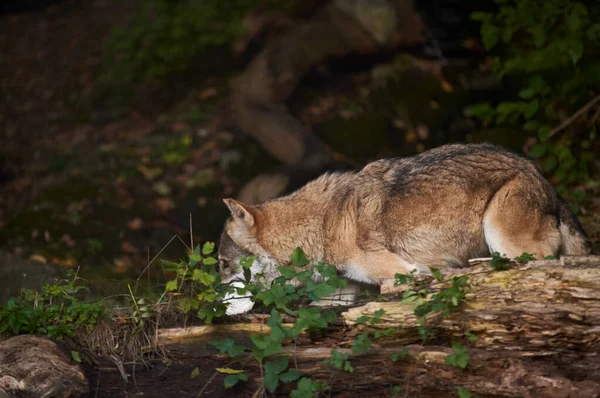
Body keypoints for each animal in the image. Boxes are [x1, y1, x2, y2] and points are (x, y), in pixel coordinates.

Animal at [217, 143, 592, 314]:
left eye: (221, 264)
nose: (215, 307)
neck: (320, 227)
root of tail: (545, 179)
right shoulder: (340, 293)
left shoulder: (404, 272)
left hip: (502, 237)